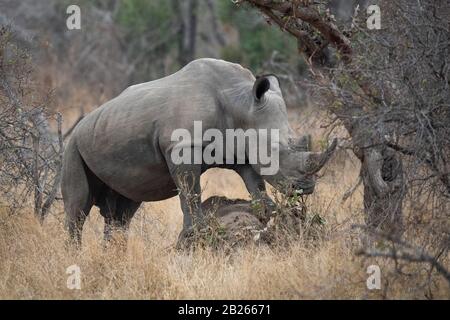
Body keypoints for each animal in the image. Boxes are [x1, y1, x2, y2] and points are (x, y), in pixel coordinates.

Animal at [60, 58, 334, 245]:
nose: (306, 188)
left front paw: (272, 213)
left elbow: (255, 184)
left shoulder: (240, 147)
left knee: (123, 210)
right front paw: (195, 234)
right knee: (78, 208)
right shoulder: (182, 146)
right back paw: (76, 256)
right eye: (277, 151)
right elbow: (190, 193)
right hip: (73, 146)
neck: (242, 104)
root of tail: (83, 122)